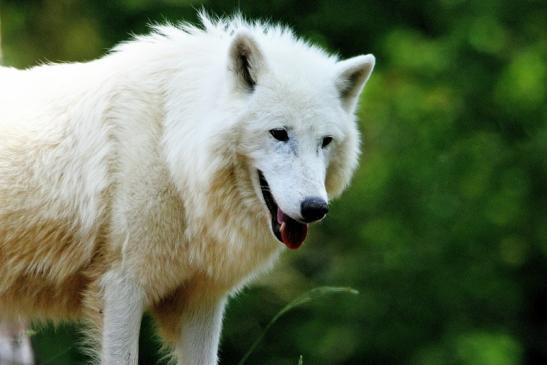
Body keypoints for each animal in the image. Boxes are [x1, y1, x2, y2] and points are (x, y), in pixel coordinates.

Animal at [0, 13, 374, 364]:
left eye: (325, 141)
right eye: (279, 133)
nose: (315, 207)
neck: (172, 151)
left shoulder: (201, 299)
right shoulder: (120, 288)